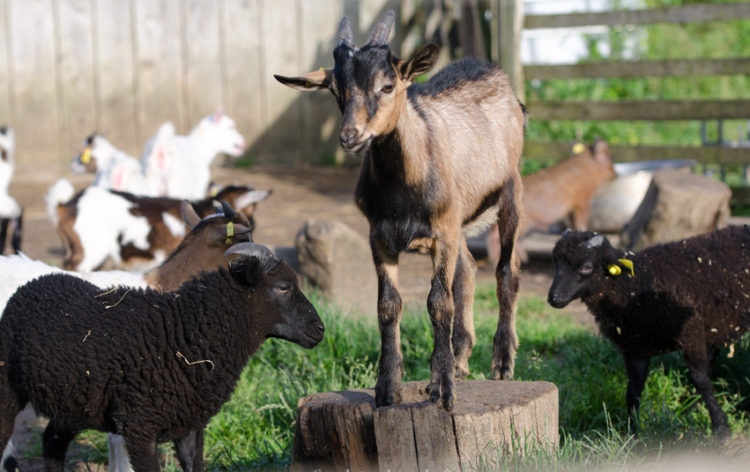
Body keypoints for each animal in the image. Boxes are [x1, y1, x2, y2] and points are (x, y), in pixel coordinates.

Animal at [0, 243, 324, 472]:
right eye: (283, 287)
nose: (320, 330)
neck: (182, 331)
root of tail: (34, 283)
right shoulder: (139, 427)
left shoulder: (190, 425)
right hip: (9, 390)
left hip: (73, 402)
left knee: (52, 442)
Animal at [276, 11, 528, 410]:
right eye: (335, 89)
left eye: (388, 85)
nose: (350, 136)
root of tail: (497, 74)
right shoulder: (380, 236)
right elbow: (388, 305)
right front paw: (387, 388)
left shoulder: (442, 230)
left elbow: (439, 302)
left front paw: (442, 391)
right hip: (458, 221)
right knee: (467, 270)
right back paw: (461, 360)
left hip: (510, 191)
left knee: (506, 270)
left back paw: (501, 363)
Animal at [548, 225, 750, 438]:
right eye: (556, 263)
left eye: (587, 267)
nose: (554, 298)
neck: (633, 284)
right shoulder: (635, 348)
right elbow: (633, 389)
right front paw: (633, 432)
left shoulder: (691, 331)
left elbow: (699, 378)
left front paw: (721, 427)